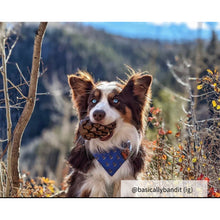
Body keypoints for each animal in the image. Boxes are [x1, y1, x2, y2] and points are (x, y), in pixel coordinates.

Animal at [66, 69, 152, 198]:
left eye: (116, 100)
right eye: (93, 101)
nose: (97, 114)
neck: (108, 150)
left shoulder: (125, 184)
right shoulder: (89, 184)